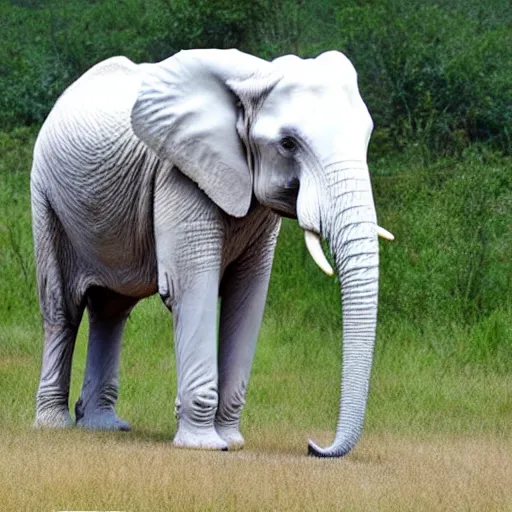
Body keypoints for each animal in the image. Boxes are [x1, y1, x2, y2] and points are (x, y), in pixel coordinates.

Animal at [31, 47, 392, 456]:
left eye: (366, 138)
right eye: (288, 144)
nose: (313, 445)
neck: (257, 77)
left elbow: (248, 296)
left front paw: (231, 442)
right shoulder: (179, 174)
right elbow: (190, 287)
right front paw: (205, 446)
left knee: (111, 310)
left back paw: (103, 425)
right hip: (45, 195)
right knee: (62, 308)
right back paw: (53, 424)